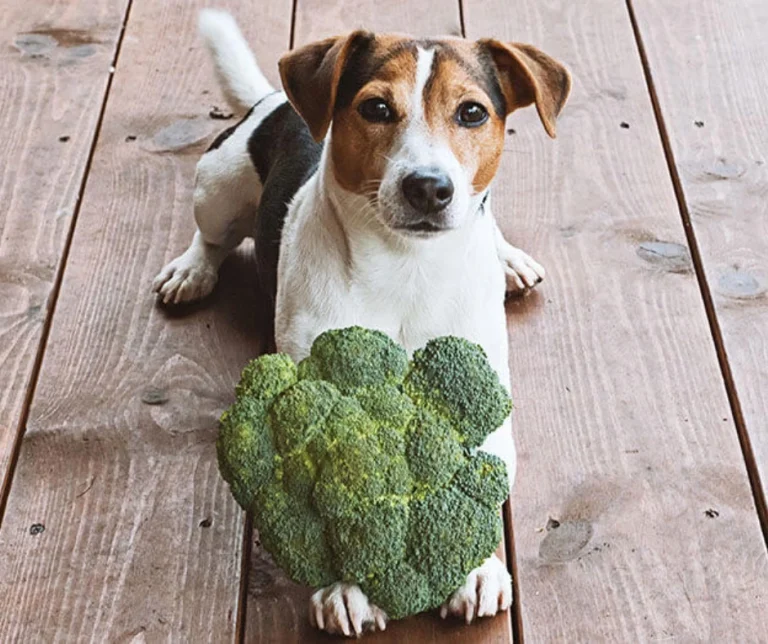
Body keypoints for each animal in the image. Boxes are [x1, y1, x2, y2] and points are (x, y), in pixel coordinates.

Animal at [153, 11, 568, 640]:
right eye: (375, 108)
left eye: (472, 112)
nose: (429, 186)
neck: (406, 266)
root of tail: (272, 101)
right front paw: (345, 586)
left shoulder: (481, 389)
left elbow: (482, 471)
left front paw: (476, 569)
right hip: (218, 188)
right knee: (212, 235)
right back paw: (193, 269)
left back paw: (507, 258)